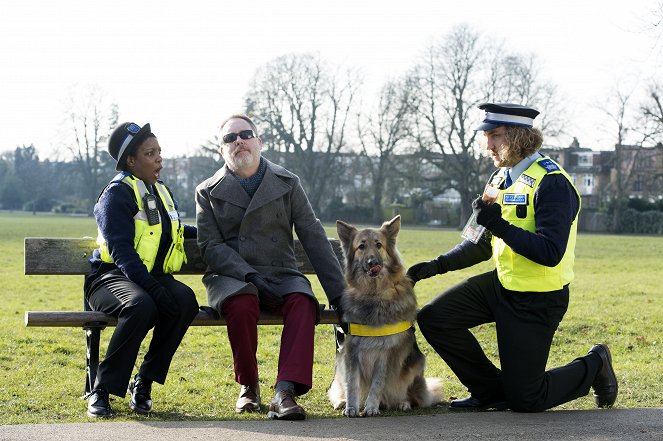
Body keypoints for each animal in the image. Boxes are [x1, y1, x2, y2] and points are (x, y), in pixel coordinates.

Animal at [330, 216, 444, 416]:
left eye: (379, 244)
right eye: (361, 246)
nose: (372, 262)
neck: (373, 293)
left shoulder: (386, 353)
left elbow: (377, 384)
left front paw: (371, 407)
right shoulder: (351, 351)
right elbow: (352, 384)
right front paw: (351, 407)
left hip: (416, 365)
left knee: (408, 395)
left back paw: (402, 403)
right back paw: (342, 401)